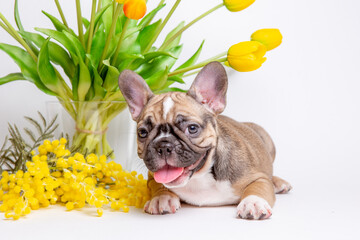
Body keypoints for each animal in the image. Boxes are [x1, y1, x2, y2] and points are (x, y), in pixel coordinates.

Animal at [118, 61, 292, 219]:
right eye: (142, 132)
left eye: (192, 128)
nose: (164, 145)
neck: (199, 177)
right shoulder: (153, 178)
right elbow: (159, 185)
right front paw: (161, 198)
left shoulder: (258, 177)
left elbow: (258, 188)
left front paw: (253, 202)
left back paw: (278, 183)